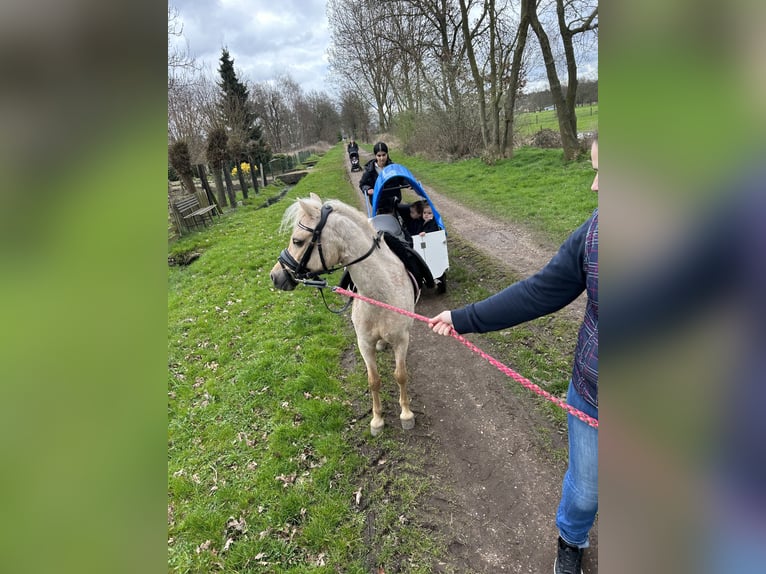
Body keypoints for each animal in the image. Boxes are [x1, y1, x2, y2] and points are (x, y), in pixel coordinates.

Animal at [268, 194, 414, 436]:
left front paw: (406, 414)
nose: (275, 276)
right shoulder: (364, 343)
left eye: (297, 241)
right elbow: (374, 381)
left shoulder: (402, 341)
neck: (380, 295)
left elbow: (401, 375)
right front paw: (377, 420)